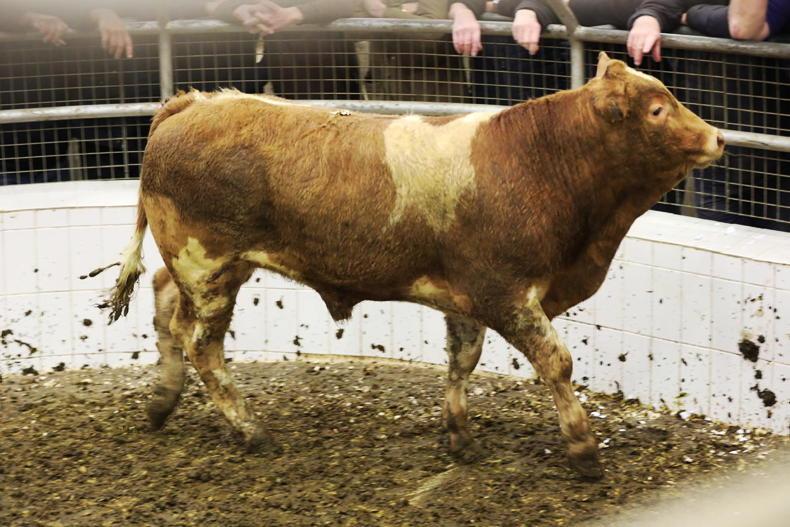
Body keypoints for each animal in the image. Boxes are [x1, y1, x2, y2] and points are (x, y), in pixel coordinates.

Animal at [101, 52, 723, 480]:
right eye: (657, 108)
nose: (717, 138)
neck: (538, 160)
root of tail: (193, 103)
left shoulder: (468, 297)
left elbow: (461, 361)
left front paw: (459, 435)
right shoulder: (507, 293)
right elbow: (557, 363)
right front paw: (583, 449)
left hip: (202, 267)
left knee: (163, 304)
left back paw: (162, 402)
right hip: (208, 265)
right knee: (200, 342)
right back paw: (250, 430)